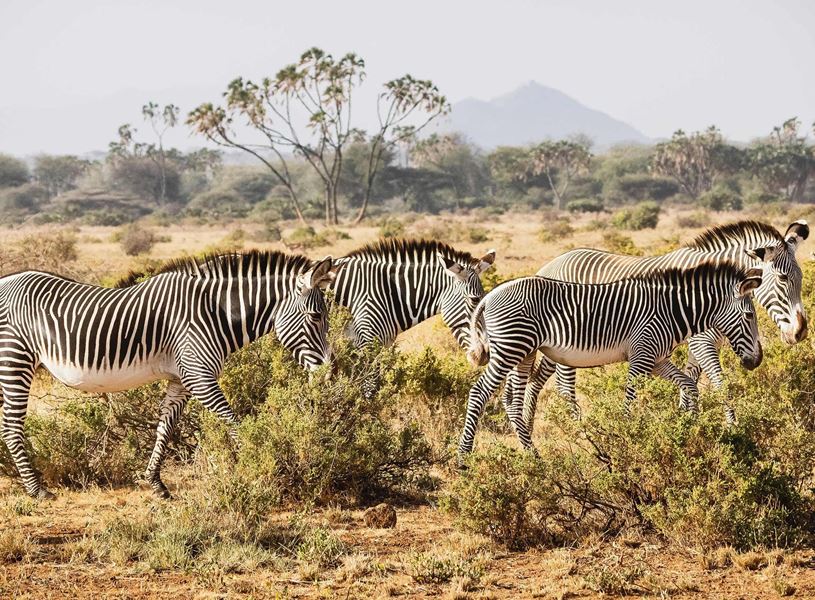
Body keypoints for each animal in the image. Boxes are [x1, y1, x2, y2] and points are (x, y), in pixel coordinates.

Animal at [0, 250, 340, 499]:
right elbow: (235, 424)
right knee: (12, 427)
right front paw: (260, 468)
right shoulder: (199, 377)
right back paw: (37, 490)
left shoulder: (181, 381)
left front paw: (156, 484)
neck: (215, 313)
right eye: (316, 317)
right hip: (15, 358)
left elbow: (165, 428)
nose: (328, 375)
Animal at [460, 261, 763, 456]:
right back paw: (464, 458)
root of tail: (490, 296)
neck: (672, 311)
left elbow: (689, 385)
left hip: (523, 352)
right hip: (510, 348)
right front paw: (626, 441)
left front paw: (692, 427)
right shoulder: (642, 356)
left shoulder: (658, 360)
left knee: (510, 400)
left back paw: (533, 455)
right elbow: (629, 401)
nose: (756, 361)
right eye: (750, 315)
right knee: (479, 393)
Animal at [515, 220, 808, 428]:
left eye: (802, 277)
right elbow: (719, 382)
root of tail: (549, 265)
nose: (800, 332)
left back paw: (529, 424)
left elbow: (690, 381)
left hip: (553, 347)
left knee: (537, 379)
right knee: (564, 387)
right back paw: (579, 430)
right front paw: (732, 428)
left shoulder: (697, 344)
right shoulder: (702, 342)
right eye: (782, 278)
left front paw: (687, 421)